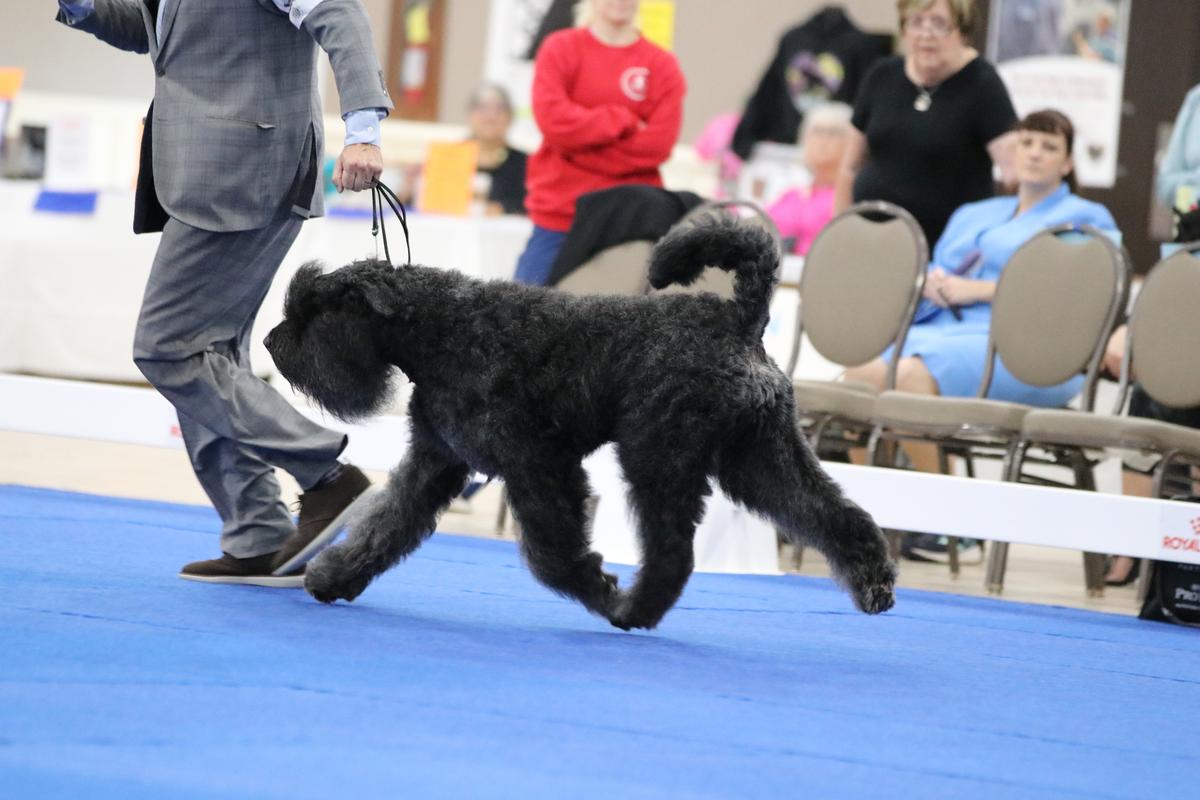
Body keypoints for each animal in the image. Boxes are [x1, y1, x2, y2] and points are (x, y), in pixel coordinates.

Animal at [267, 215, 897, 628]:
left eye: (314, 308)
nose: (272, 342)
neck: (442, 329)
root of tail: (741, 319)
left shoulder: (537, 463)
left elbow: (553, 552)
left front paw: (595, 586)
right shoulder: (436, 459)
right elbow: (387, 522)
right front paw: (333, 575)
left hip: (660, 459)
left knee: (674, 552)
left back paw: (631, 609)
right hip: (759, 457)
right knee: (834, 515)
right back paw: (875, 585)